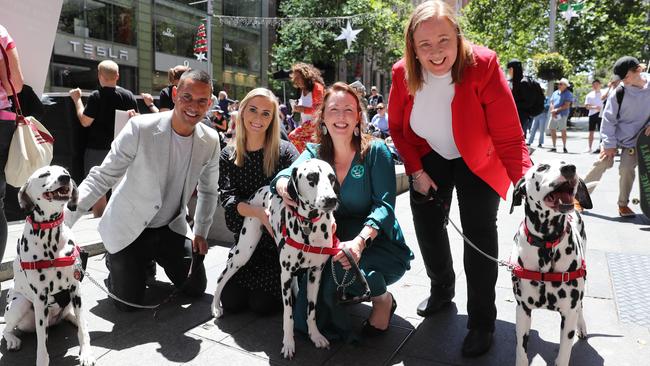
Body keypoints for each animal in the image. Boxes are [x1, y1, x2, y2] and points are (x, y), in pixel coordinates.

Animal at [2, 167, 95, 366]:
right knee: (7, 329)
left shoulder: (76, 289)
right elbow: (41, 343)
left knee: (75, 317)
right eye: (44, 174)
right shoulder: (40, 298)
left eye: (65, 171)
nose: (66, 177)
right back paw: (12, 339)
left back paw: (76, 319)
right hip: (20, 304)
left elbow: (82, 329)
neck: (50, 235)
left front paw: (86, 353)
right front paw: (42, 361)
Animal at [211, 158, 340, 358]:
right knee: (221, 277)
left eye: (331, 177)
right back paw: (216, 307)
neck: (308, 226)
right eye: (311, 177)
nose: (331, 200)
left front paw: (315, 335)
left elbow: (311, 310)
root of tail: (259, 190)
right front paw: (288, 343)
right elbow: (288, 315)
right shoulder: (284, 276)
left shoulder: (315, 273)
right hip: (243, 252)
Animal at [508, 162, 596, 366]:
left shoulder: (568, 313)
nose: (570, 168)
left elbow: (564, 354)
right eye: (542, 168)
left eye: (565, 162)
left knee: (581, 306)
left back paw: (582, 327)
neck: (546, 244)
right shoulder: (522, 310)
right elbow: (521, 351)